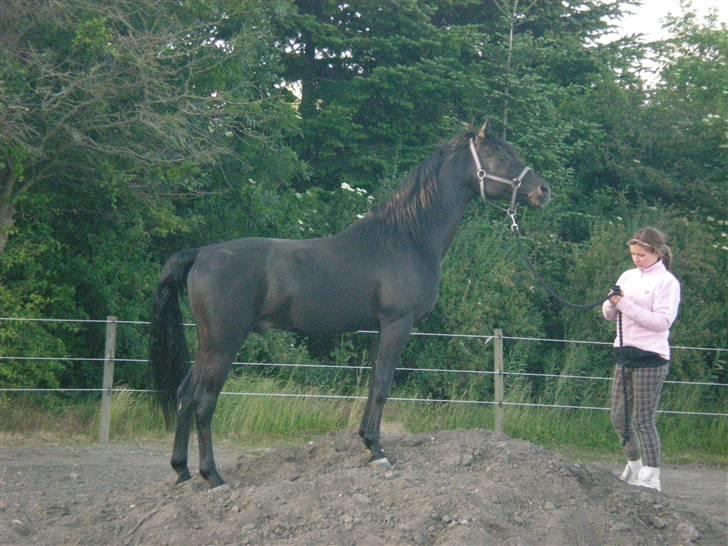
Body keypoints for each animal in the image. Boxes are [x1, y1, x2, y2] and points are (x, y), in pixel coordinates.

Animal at [152, 122, 552, 484]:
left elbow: (374, 381)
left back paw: (182, 471)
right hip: (224, 343)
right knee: (204, 402)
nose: (543, 190)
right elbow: (383, 384)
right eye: (500, 156)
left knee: (184, 395)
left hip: (208, 344)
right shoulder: (397, 324)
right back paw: (213, 476)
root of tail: (201, 254)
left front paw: (368, 443)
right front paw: (376, 450)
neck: (408, 238)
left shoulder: (378, 328)